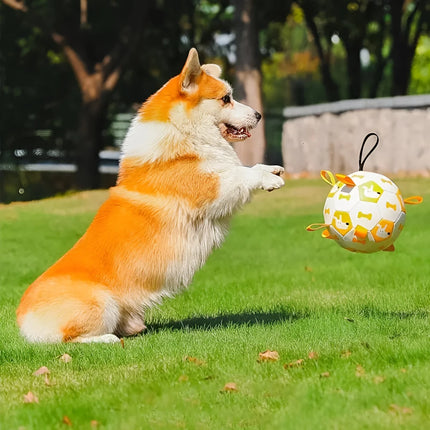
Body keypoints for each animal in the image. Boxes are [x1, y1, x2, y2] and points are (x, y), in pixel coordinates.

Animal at [16, 47, 284, 342]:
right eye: (226, 99)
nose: (258, 115)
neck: (183, 131)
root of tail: (24, 321)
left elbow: (246, 167)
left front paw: (272, 168)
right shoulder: (212, 187)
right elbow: (240, 175)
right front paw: (268, 179)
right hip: (102, 303)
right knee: (70, 339)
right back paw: (108, 339)